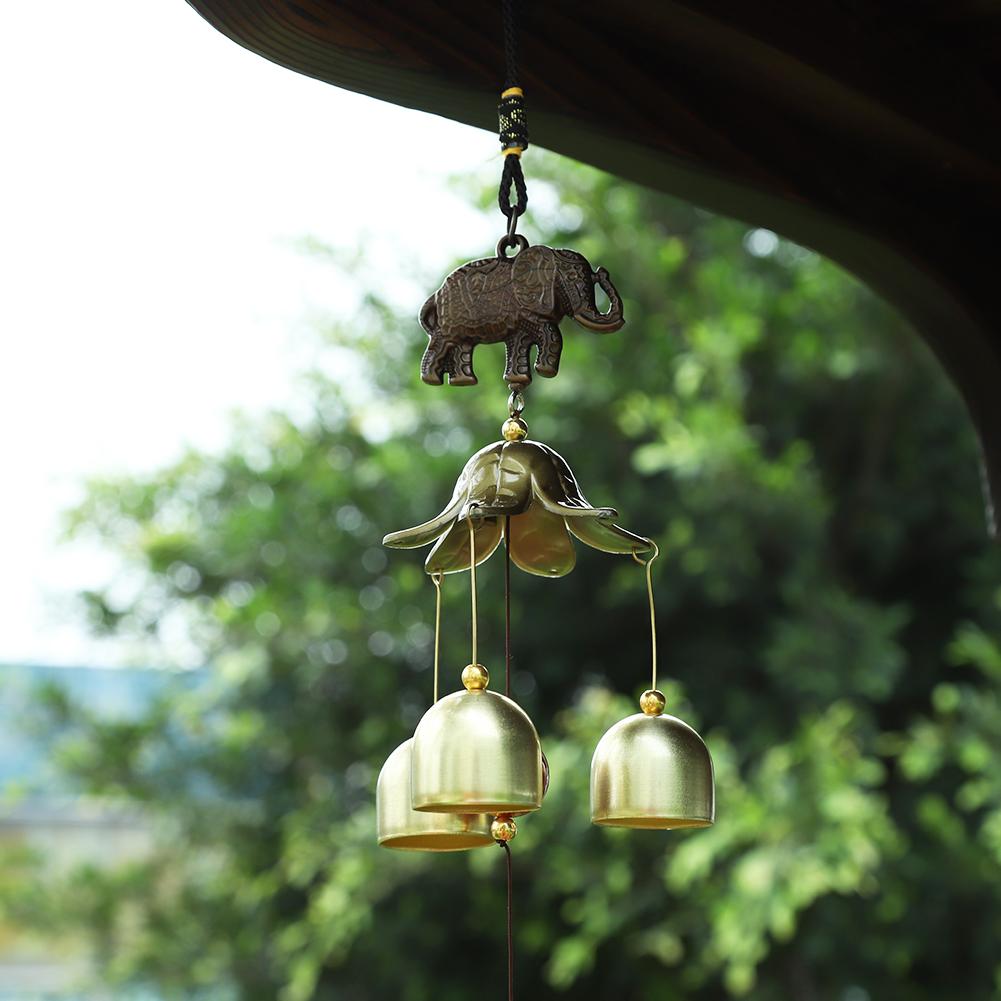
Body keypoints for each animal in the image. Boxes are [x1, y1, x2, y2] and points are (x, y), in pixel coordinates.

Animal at [418, 241, 624, 387]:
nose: (602, 272)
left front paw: (519, 378)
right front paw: (543, 370)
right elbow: (549, 331)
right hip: (450, 320)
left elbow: (520, 340)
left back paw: (463, 381)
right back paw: (432, 379)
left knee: (462, 345)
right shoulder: (521, 305)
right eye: (571, 277)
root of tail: (435, 295)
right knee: (442, 342)